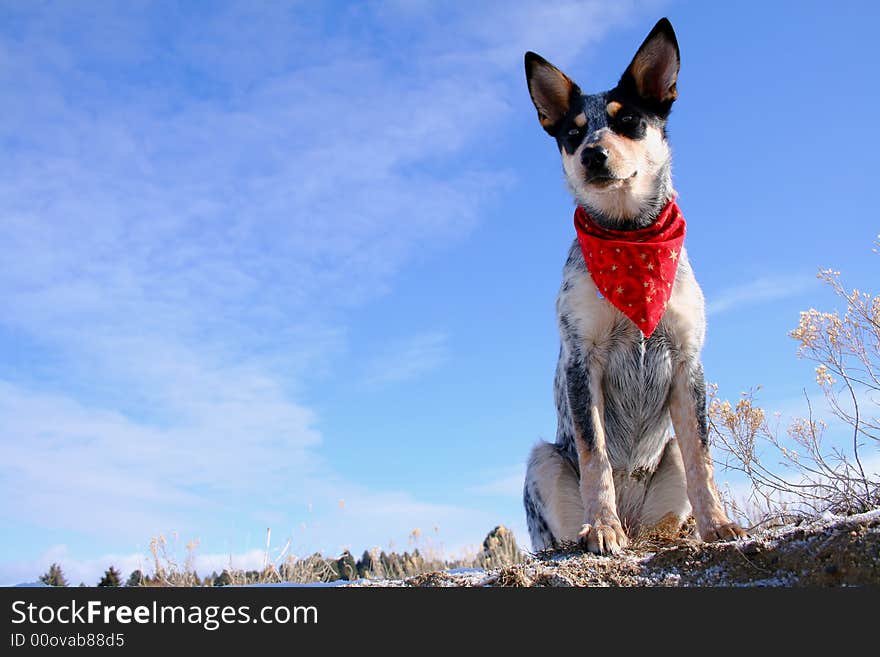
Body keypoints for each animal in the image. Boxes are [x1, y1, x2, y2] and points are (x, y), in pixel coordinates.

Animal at [524, 16, 744, 552]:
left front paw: (717, 523)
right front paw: (602, 527)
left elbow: (702, 460)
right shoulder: (582, 360)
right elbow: (595, 457)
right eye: (572, 133)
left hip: (664, 467)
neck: (629, 236)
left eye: (629, 122)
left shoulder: (687, 361)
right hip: (541, 460)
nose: (593, 154)